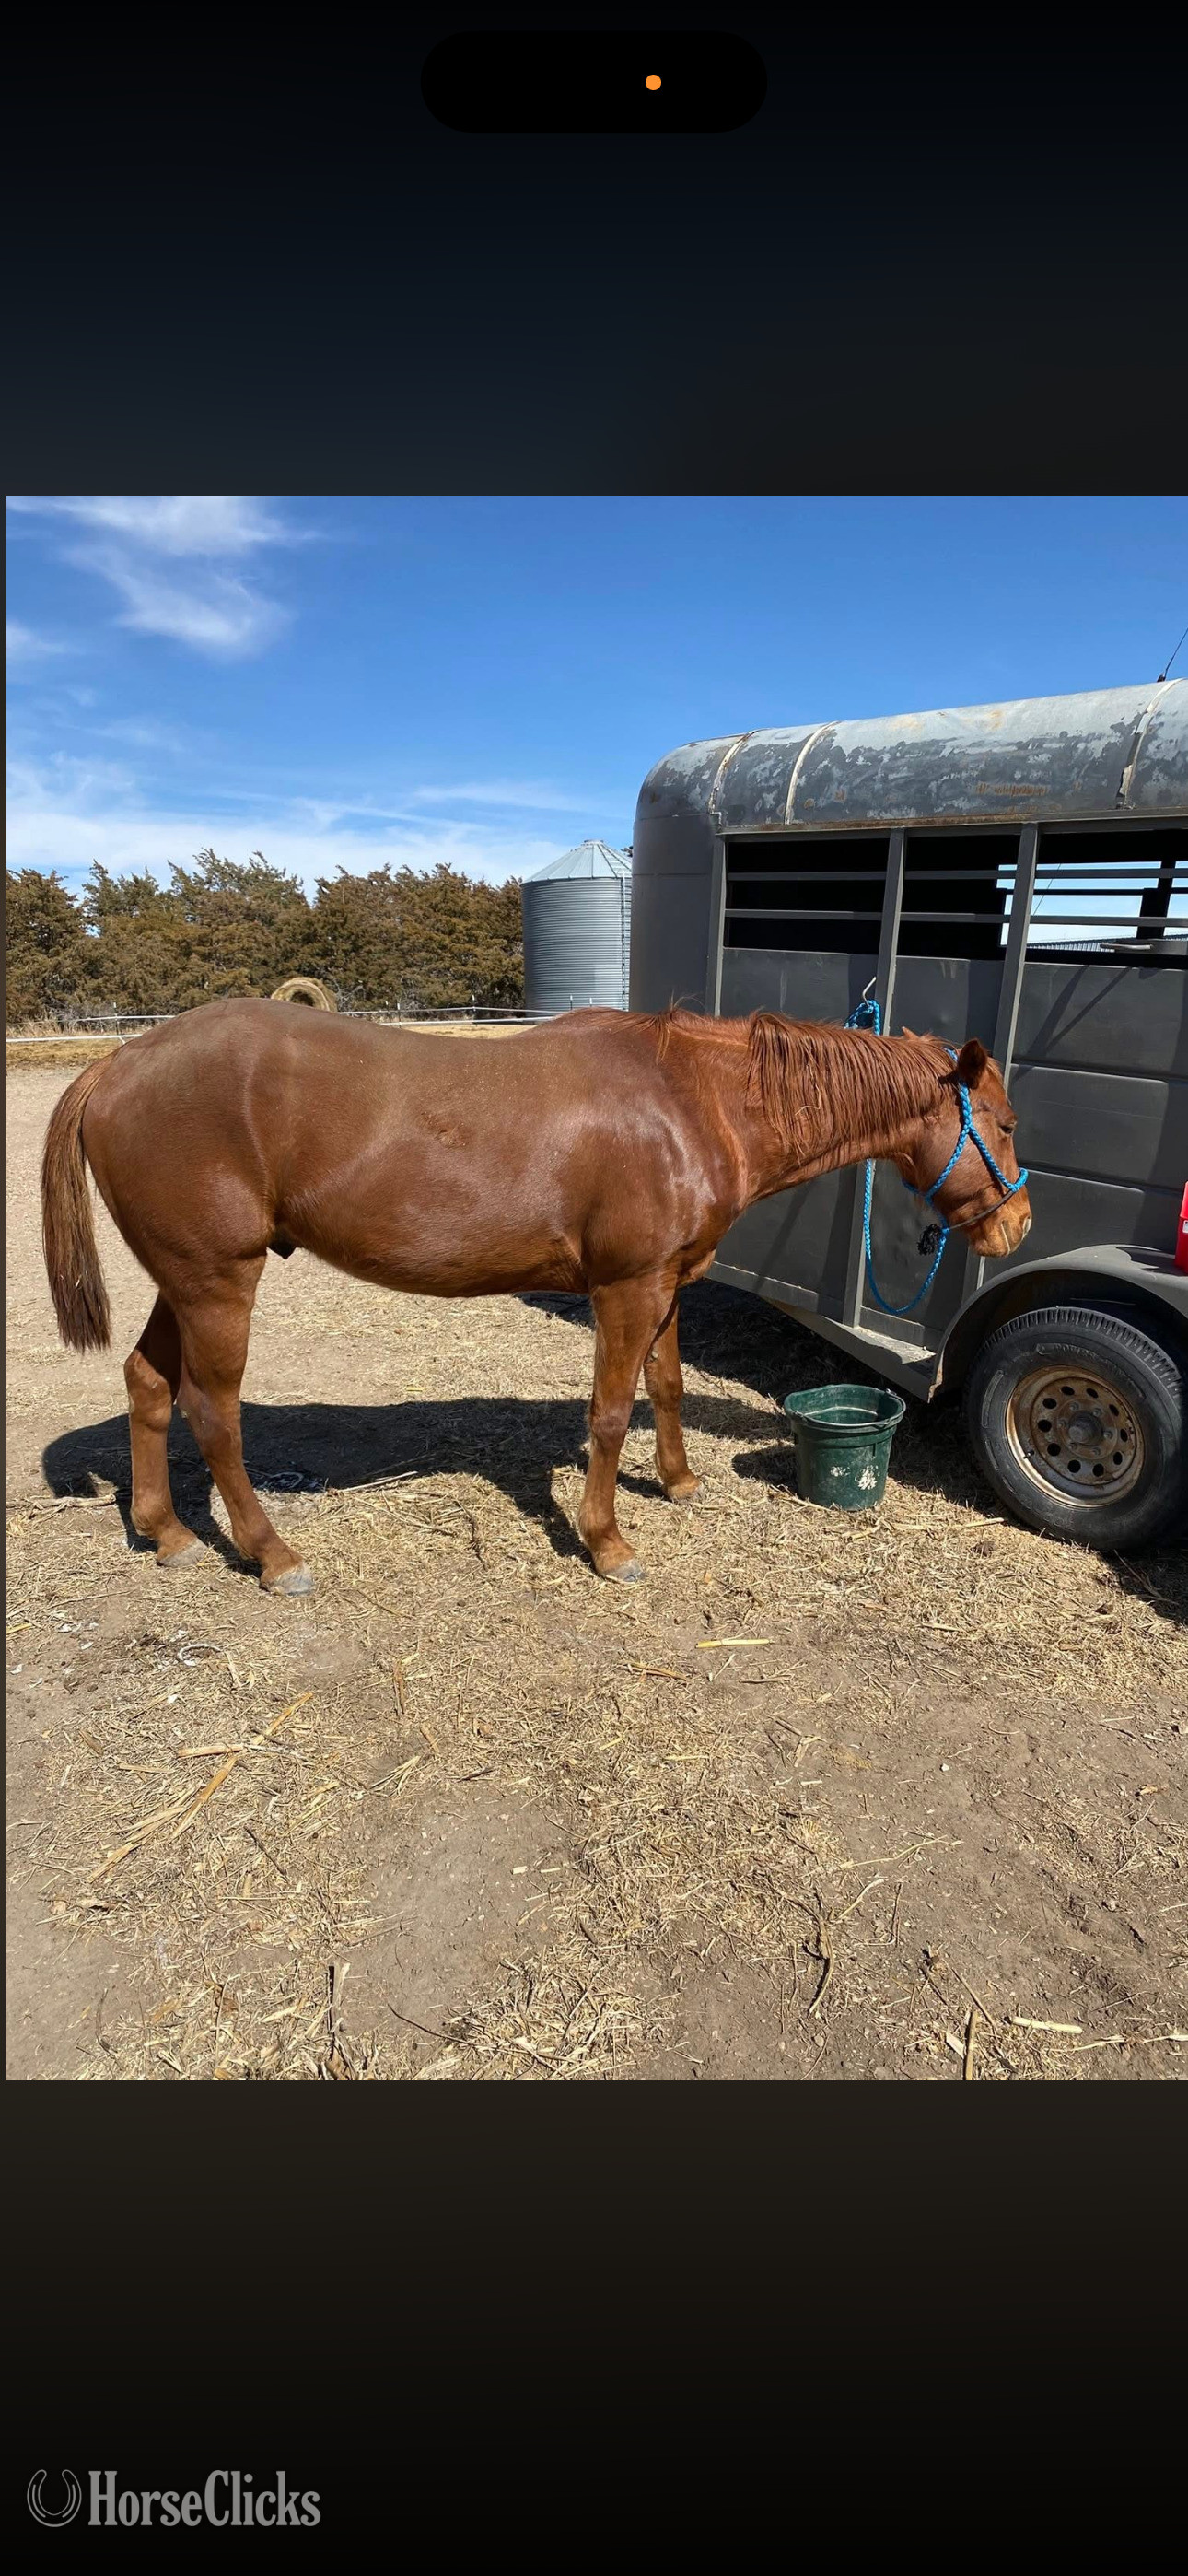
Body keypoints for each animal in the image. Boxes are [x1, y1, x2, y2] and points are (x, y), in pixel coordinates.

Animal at [41, 999, 1031, 1590]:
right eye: (1008, 1123)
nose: (1017, 1227)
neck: (692, 1100)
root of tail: (117, 1065)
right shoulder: (626, 1288)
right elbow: (609, 1413)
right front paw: (607, 1541)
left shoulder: (669, 1284)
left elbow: (666, 1387)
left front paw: (678, 1482)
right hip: (218, 1283)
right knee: (213, 1413)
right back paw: (272, 1554)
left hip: (186, 1281)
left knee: (147, 1384)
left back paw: (166, 1532)